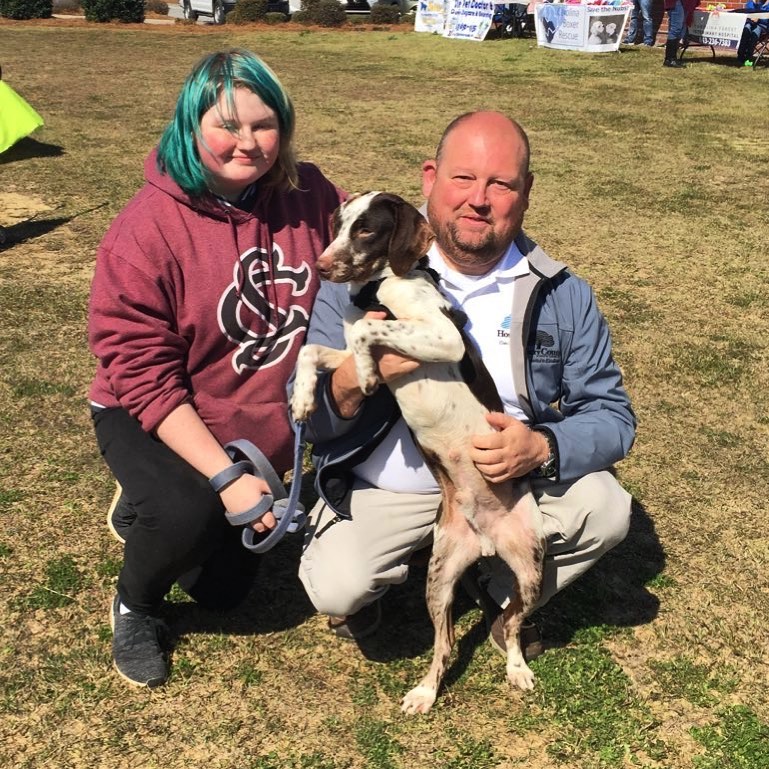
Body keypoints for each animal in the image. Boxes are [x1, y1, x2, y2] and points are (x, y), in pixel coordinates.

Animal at [290, 192, 544, 712]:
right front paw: (303, 399)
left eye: (367, 229)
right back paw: (425, 693)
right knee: (445, 644)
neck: (382, 287)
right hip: (439, 578)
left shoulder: (442, 339)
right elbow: (316, 351)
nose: (322, 265)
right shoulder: (348, 353)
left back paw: (517, 669)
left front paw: (368, 372)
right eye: (337, 224)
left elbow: (364, 333)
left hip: (531, 569)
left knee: (510, 624)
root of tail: (486, 541)